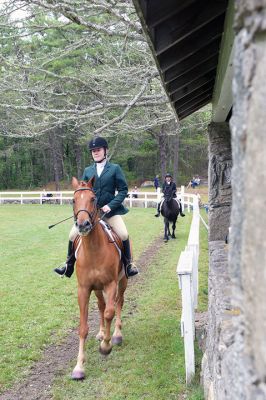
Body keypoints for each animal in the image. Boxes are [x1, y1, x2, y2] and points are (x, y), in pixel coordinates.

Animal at [71, 177, 127, 380]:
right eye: (73, 200)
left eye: (93, 199)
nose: (83, 225)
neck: (93, 250)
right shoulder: (84, 289)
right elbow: (83, 327)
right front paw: (79, 366)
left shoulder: (111, 284)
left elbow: (110, 312)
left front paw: (106, 346)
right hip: (96, 289)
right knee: (102, 306)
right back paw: (102, 333)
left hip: (122, 281)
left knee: (118, 303)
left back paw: (116, 334)